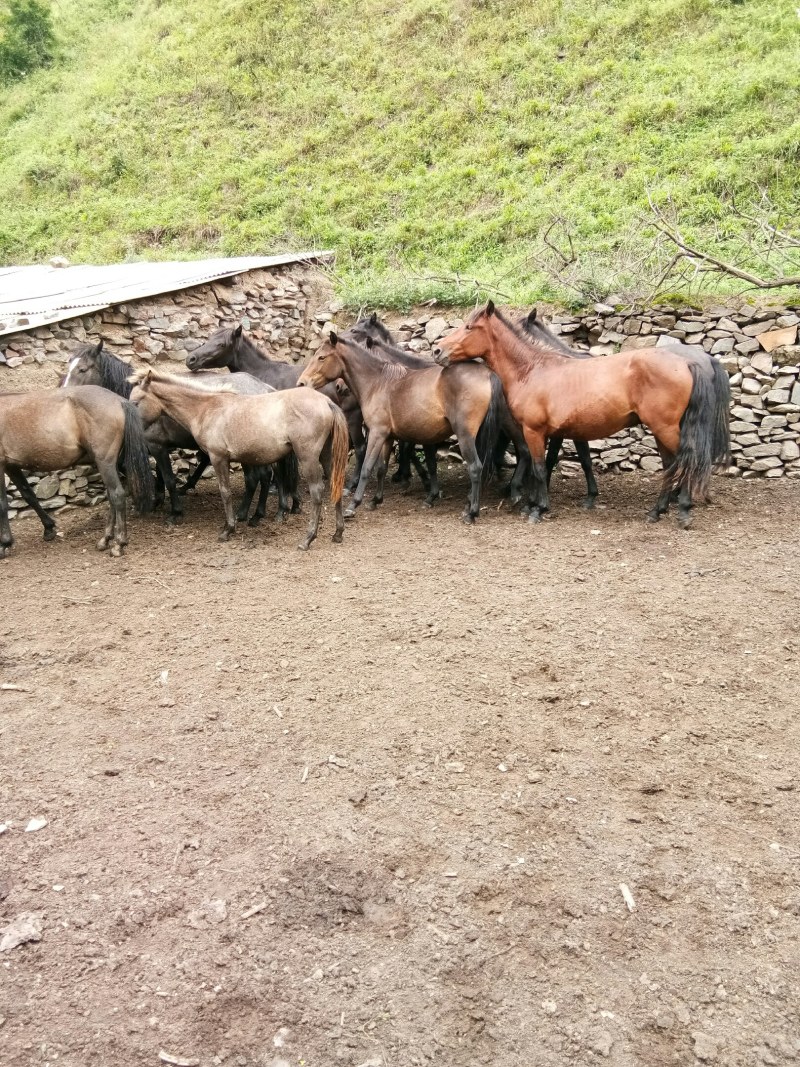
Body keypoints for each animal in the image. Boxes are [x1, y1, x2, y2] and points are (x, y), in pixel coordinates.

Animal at [0, 385, 153, 558]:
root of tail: (120, 401)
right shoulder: (11, 466)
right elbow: (29, 495)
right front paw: (48, 529)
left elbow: (2, 503)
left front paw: (4, 544)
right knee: (111, 496)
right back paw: (105, 539)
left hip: (105, 462)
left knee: (117, 495)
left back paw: (119, 544)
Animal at [63, 341, 298, 526]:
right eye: (68, 366)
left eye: (82, 369)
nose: (65, 393)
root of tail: (263, 387)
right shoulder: (156, 446)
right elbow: (157, 475)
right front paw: (158, 499)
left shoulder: (157, 446)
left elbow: (168, 478)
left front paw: (174, 511)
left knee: (261, 476)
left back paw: (255, 512)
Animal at [129, 368, 347, 550]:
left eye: (135, 403)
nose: (133, 432)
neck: (206, 408)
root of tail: (326, 402)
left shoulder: (218, 457)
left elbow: (225, 492)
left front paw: (228, 529)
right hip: (326, 456)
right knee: (334, 485)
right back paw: (337, 533)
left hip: (308, 457)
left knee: (317, 492)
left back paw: (307, 538)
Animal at [297, 331, 503, 523]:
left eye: (321, 357)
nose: (301, 382)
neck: (378, 383)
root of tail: (486, 373)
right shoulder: (388, 437)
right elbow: (381, 468)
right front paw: (376, 500)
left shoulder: (377, 434)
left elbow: (367, 468)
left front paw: (353, 505)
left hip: (464, 435)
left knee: (475, 467)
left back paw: (471, 513)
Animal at [434, 301, 730, 528]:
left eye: (469, 327)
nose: (437, 350)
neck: (531, 369)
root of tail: (688, 362)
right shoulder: (559, 433)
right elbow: (552, 466)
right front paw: (537, 502)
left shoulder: (534, 431)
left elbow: (539, 468)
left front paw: (537, 509)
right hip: (662, 429)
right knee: (672, 465)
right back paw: (657, 511)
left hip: (665, 428)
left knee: (686, 461)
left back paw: (683, 510)